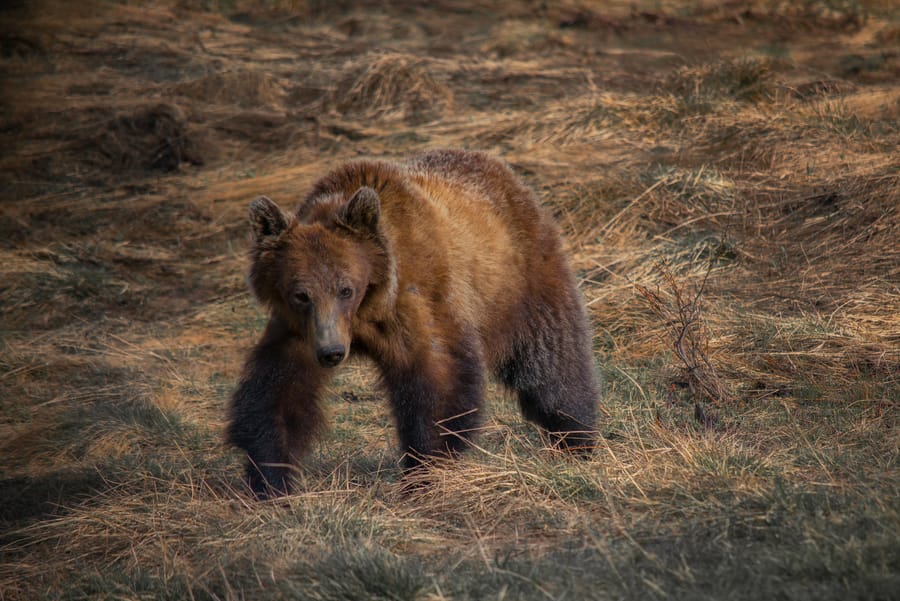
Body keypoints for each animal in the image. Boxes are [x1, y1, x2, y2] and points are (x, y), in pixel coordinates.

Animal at [225, 148, 596, 494]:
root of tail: (496, 166)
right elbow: (278, 391)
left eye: (345, 288)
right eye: (301, 294)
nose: (332, 353)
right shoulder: (300, 331)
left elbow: (439, 383)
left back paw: (575, 436)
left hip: (517, 277)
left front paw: (424, 470)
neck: (366, 309)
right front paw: (270, 477)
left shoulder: (418, 301)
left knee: (551, 358)